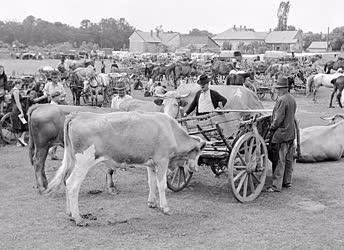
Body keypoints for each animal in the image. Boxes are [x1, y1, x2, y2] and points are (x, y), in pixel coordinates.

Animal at [43, 111, 204, 227]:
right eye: (199, 153)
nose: (195, 168)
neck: (170, 130)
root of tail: (78, 114)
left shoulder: (151, 164)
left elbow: (151, 183)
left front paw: (152, 203)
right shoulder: (162, 161)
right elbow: (161, 185)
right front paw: (165, 208)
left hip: (72, 160)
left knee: (65, 180)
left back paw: (70, 213)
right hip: (83, 162)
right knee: (72, 184)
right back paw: (78, 218)